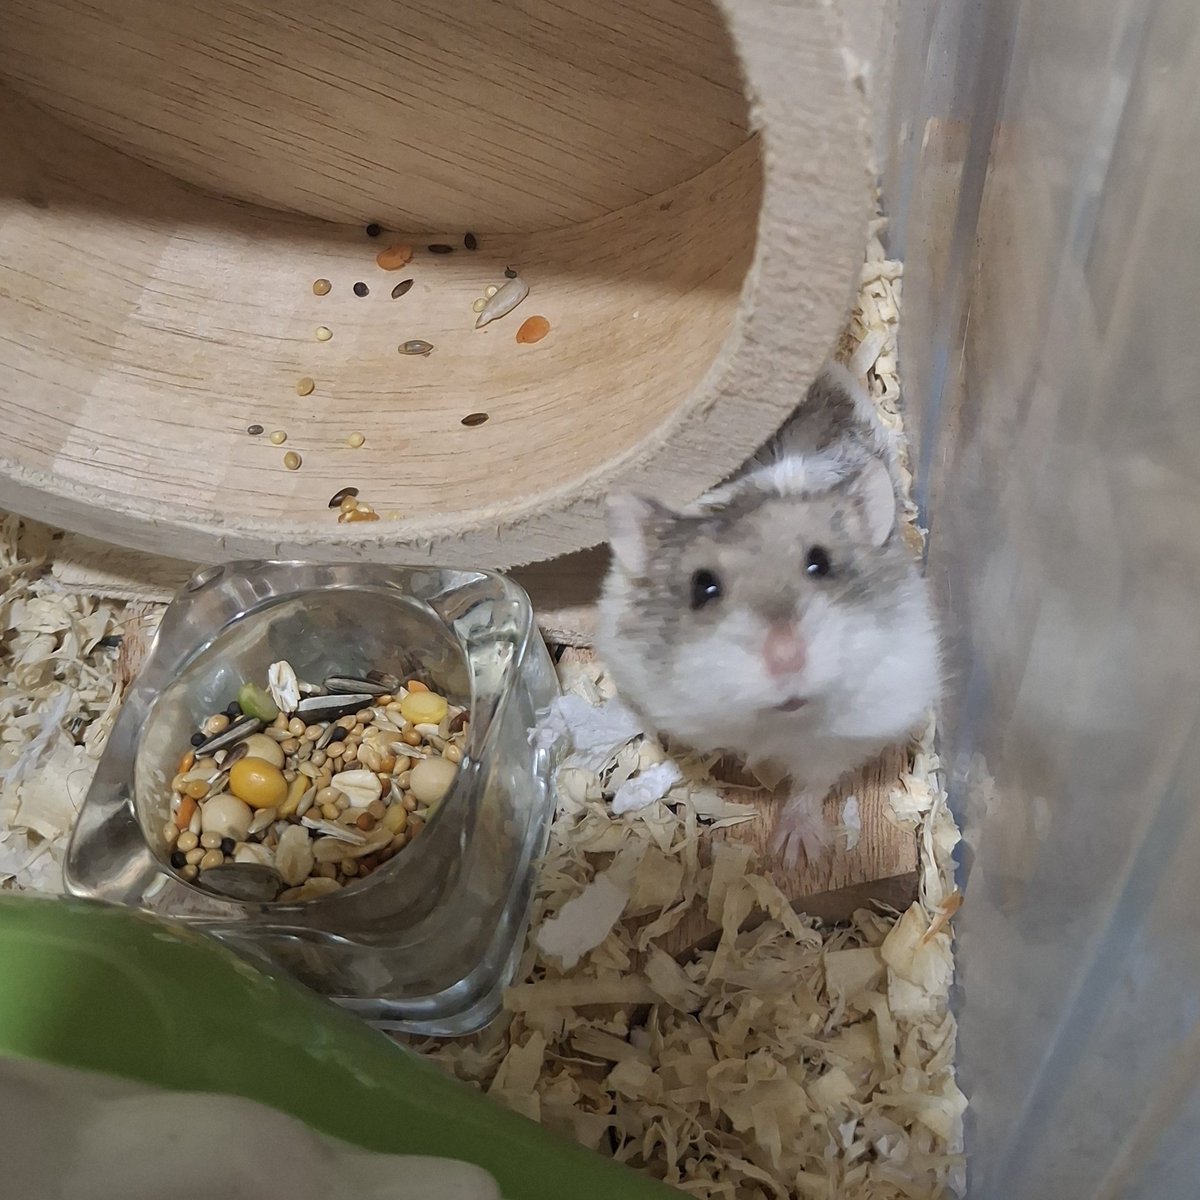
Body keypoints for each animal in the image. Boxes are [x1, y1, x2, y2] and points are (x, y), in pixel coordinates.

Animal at [596, 363, 941, 868]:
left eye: (820, 563)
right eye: (703, 587)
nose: (786, 659)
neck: (778, 722)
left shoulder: (846, 733)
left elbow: (812, 784)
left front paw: (796, 854)